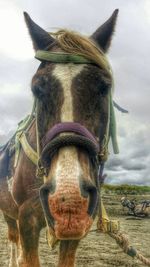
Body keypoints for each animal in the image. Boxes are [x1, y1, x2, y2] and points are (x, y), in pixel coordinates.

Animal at [0, 10, 119, 267]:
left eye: (104, 87)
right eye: (36, 89)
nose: (68, 200)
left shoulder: (76, 231)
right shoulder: (27, 221)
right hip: (9, 212)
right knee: (13, 240)